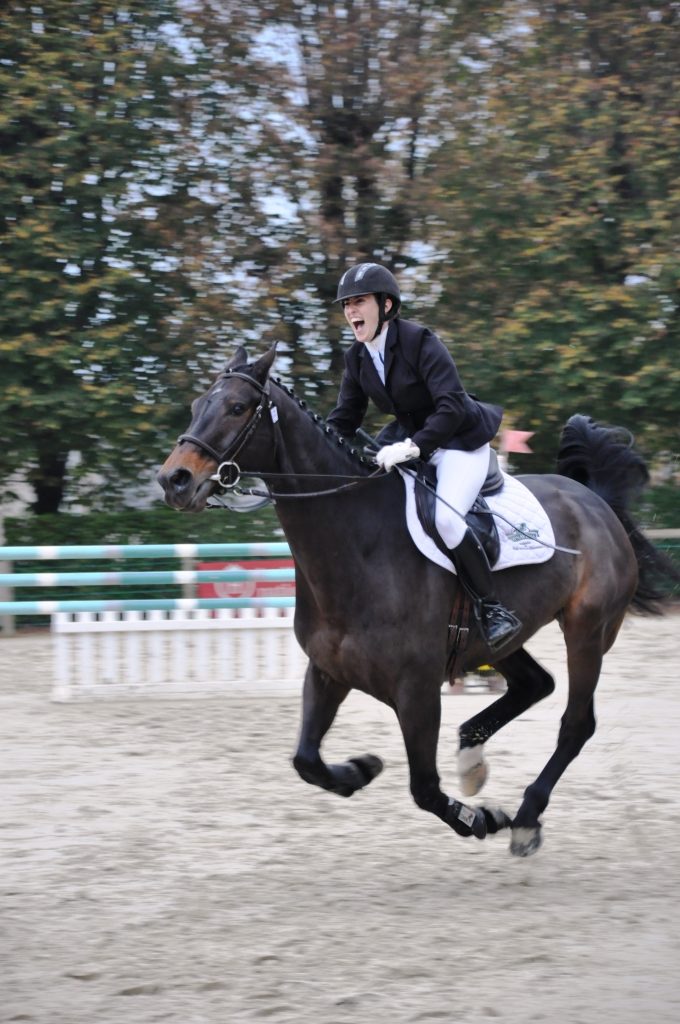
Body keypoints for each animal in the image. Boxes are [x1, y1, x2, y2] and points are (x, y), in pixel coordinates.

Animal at [157, 344, 675, 856]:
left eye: (237, 407)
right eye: (197, 405)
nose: (174, 480)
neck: (355, 543)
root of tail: (592, 499)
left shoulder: (417, 690)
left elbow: (423, 787)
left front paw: (481, 819)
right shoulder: (328, 672)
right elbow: (306, 760)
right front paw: (360, 770)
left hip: (586, 631)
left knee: (576, 721)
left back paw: (526, 818)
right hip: (495, 640)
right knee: (535, 683)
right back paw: (472, 760)